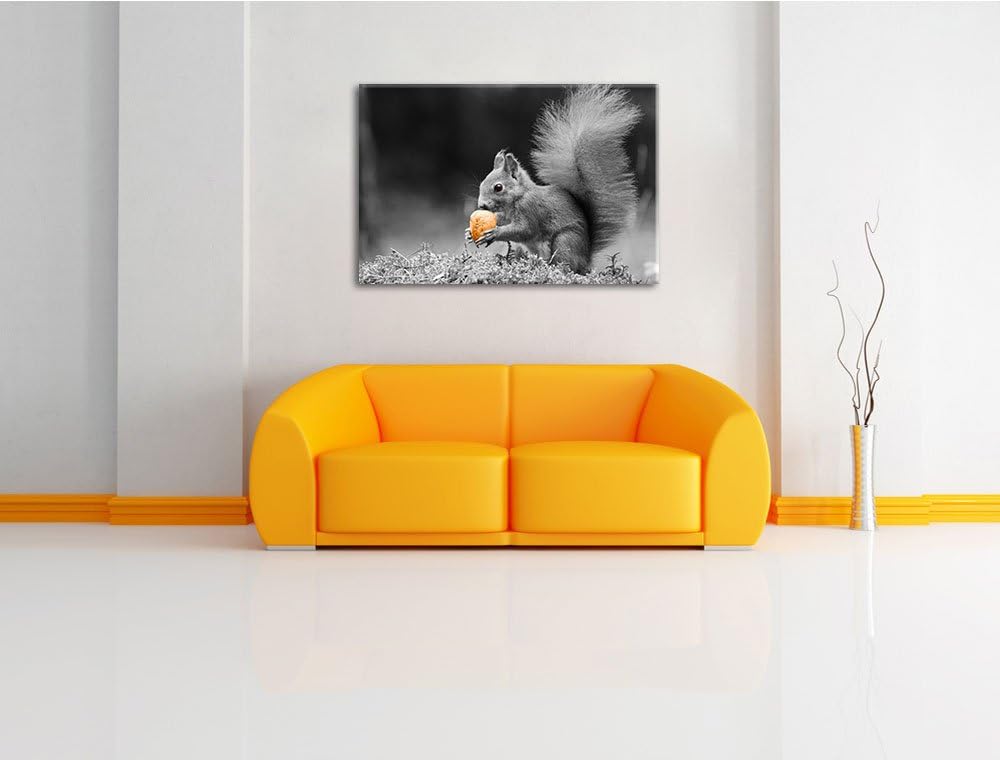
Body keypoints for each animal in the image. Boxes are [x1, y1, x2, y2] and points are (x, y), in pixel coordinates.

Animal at [465, 85, 642, 274]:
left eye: (498, 187)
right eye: (482, 184)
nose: (481, 205)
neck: (519, 197)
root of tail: (586, 260)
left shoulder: (530, 209)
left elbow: (525, 230)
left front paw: (495, 233)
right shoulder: (505, 215)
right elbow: (502, 220)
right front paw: (469, 231)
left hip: (565, 241)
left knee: (564, 264)